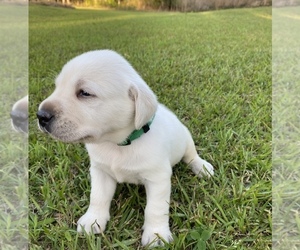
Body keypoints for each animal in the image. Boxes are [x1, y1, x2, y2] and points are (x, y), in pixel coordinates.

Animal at [37, 49, 213, 247]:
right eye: (57, 87)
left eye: (85, 93)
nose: (40, 115)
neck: (117, 143)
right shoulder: (100, 171)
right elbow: (97, 197)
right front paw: (93, 220)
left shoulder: (158, 179)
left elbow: (155, 208)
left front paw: (156, 234)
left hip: (186, 138)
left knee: (191, 155)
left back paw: (202, 167)